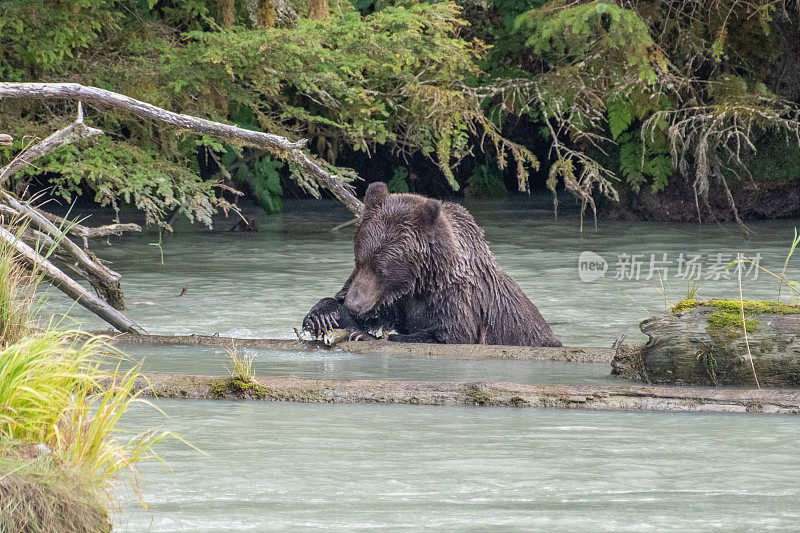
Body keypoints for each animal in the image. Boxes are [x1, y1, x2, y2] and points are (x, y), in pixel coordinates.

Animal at [302, 183, 564, 348]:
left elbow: (446, 335)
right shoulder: (397, 300)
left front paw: (363, 335)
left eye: (381, 268)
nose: (353, 303)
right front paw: (323, 315)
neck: (421, 281)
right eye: (360, 261)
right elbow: (374, 312)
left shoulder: (459, 301)